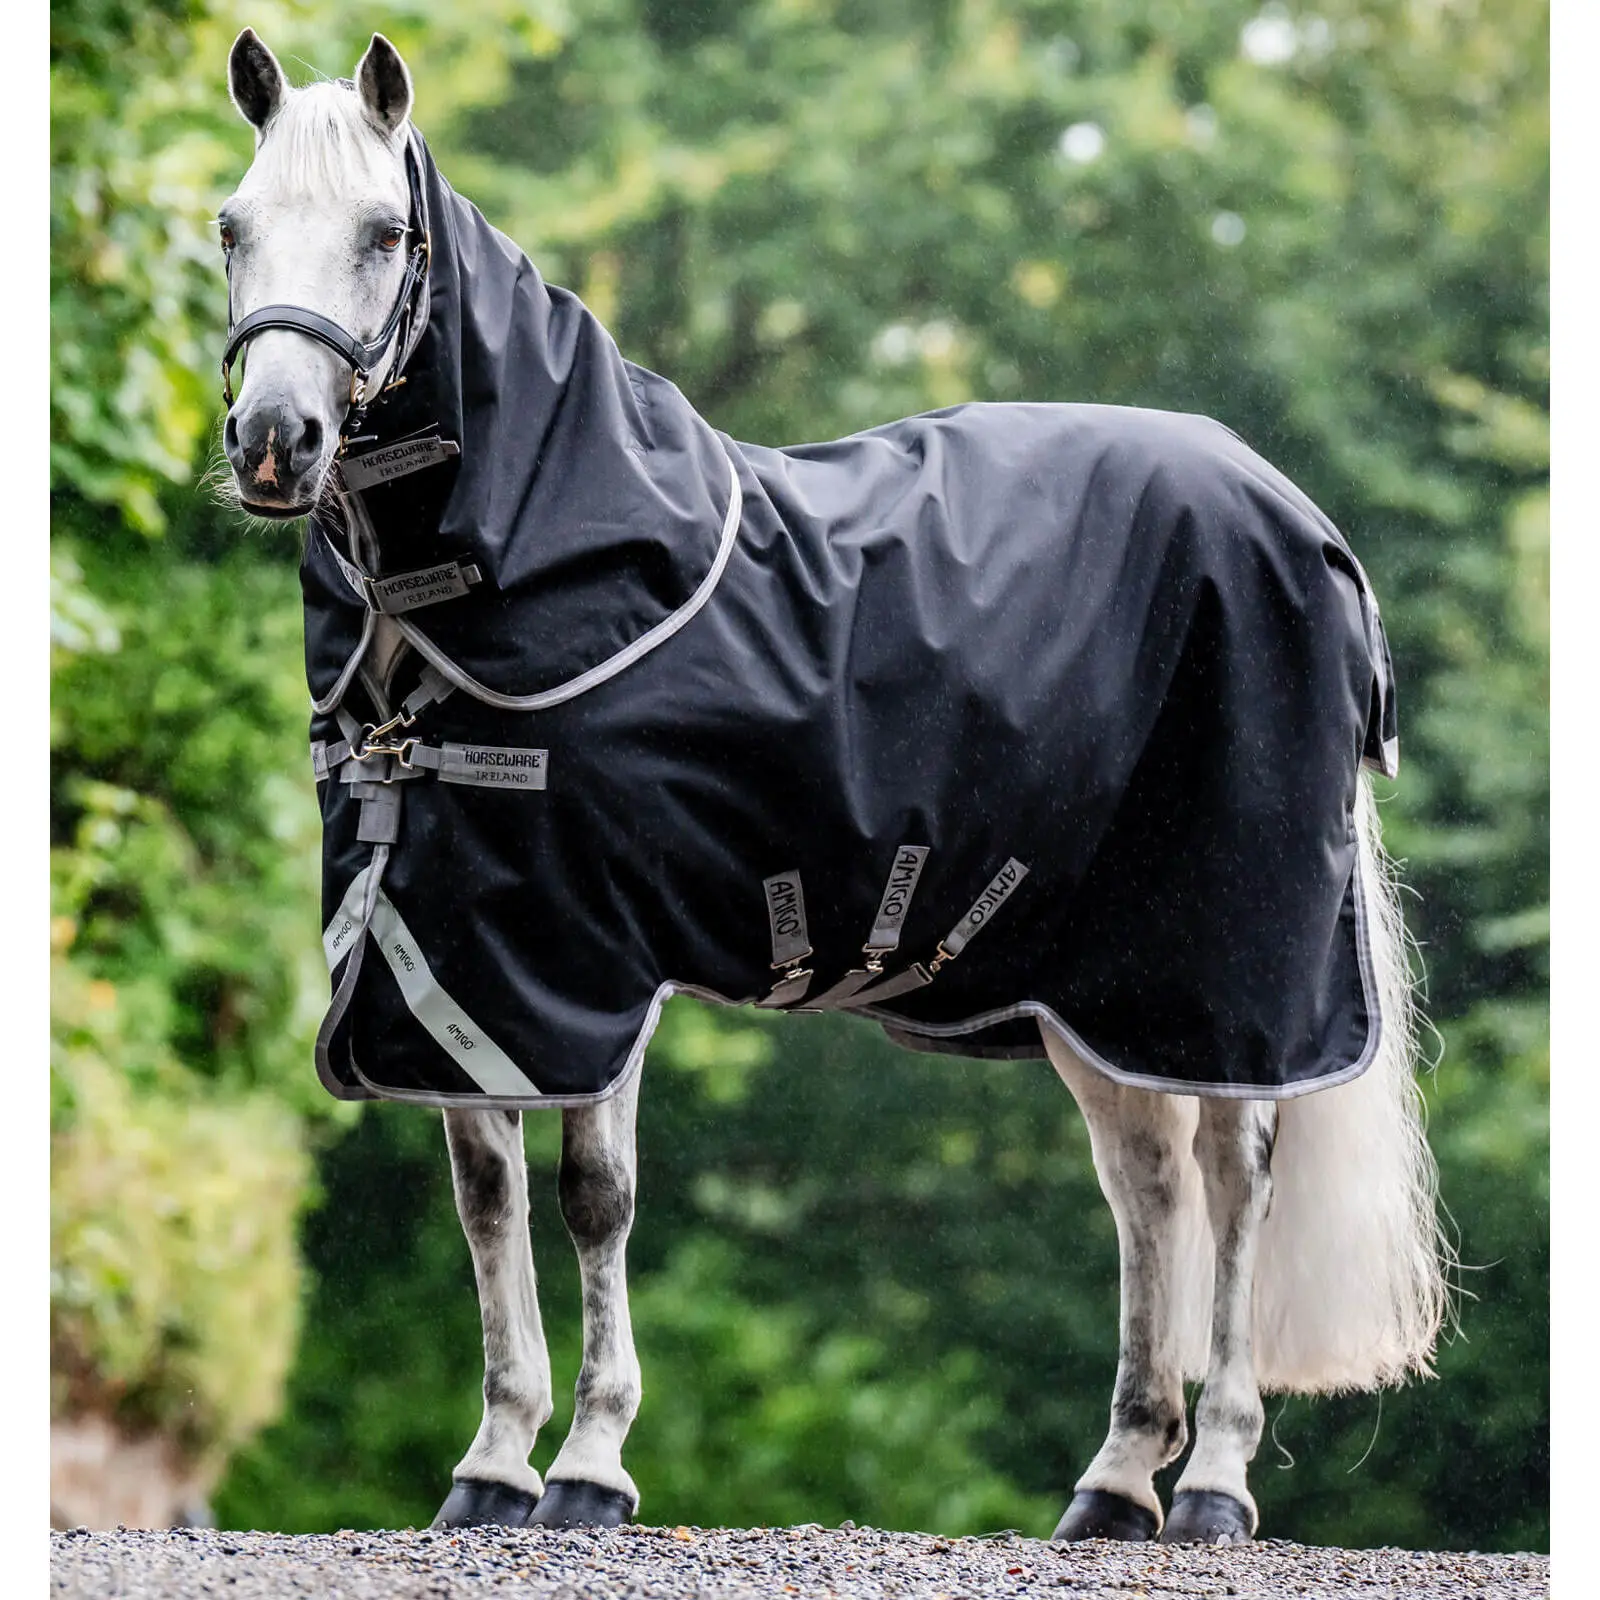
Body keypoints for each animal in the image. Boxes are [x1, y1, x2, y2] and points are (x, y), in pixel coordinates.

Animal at [216, 29, 1447, 1545]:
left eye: (385, 233)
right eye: (232, 226)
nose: (275, 442)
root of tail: (1303, 522)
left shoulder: (591, 956)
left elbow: (594, 1196)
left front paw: (589, 1467)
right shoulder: (462, 956)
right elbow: (487, 1199)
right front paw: (491, 1464)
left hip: (1232, 962)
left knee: (1234, 1175)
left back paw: (1211, 1481)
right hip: (1110, 987)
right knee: (1150, 1185)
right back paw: (1113, 1483)